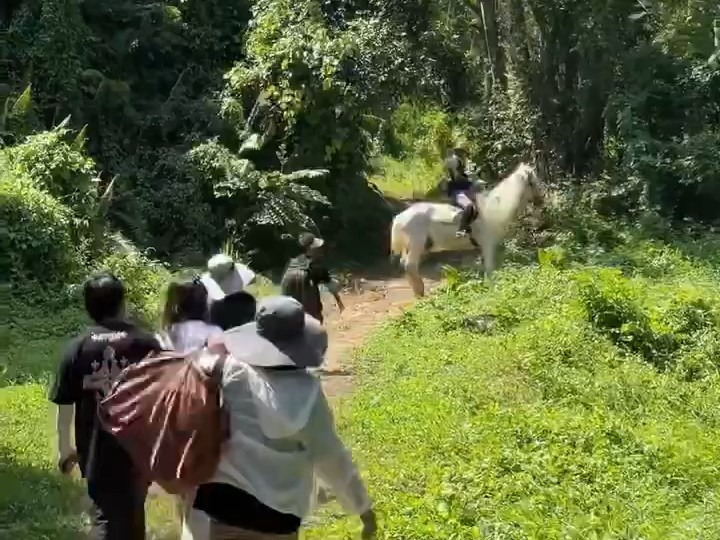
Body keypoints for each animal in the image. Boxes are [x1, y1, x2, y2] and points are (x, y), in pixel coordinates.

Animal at [390, 162, 544, 298]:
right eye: (533, 181)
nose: (541, 201)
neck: (494, 208)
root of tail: (400, 217)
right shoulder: (488, 245)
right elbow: (490, 269)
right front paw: (493, 291)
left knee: (405, 265)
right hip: (416, 245)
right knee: (410, 265)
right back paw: (420, 291)